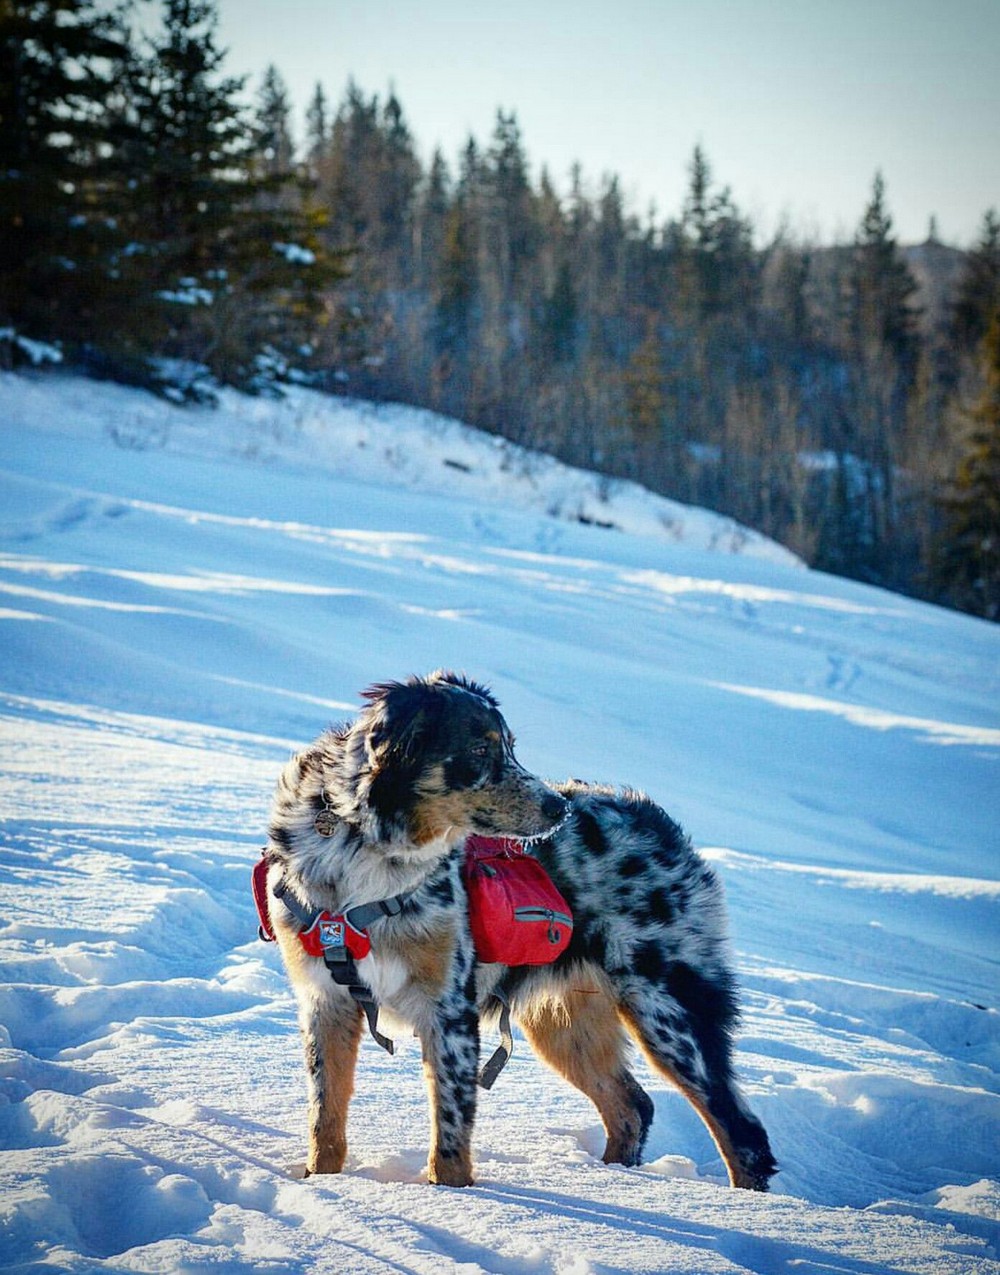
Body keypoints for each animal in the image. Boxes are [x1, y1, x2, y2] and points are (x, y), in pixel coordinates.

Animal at [261, 673, 775, 1188]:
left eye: (510, 747)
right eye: (479, 750)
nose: (558, 808)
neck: (365, 852)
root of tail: (657, 820)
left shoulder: (448, 1009)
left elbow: (450, 1133)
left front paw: (449, 1194)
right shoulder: (327, 1000)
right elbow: (325, 1118)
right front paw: (322, 1183)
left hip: (667, 1010)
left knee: (740, 1131)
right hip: (563, 1019)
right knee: (632, 1106)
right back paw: (612, 1179)